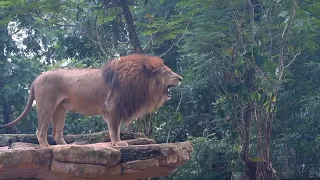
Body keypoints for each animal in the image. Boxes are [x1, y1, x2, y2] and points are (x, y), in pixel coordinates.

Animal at [0, 53, 182, 148]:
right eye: (168, 73)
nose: (180, 78)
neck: (141, 81)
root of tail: (36, 78)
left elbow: (115, 127)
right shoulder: (112, 106)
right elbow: (114, 128)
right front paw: (118, 143)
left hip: (60, 109)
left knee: (56, 133)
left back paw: (66, 146)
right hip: (47, 107)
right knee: (40, 131)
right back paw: (46, 148)